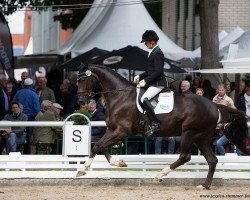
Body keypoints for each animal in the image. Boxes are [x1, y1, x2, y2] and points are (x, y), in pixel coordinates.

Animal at [76, 64, 250, 189]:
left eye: (83, 80)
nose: (81, 101)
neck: (120, 95)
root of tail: (214, 105)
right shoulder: (112, 131)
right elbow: (100, 146)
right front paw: (117, 163)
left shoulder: (121, 131)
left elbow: (98, 145)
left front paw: (83, 169)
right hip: (201, 137)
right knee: (212, 160)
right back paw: (204, 186)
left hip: (189, 132)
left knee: (185, 156)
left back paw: (160, 175)